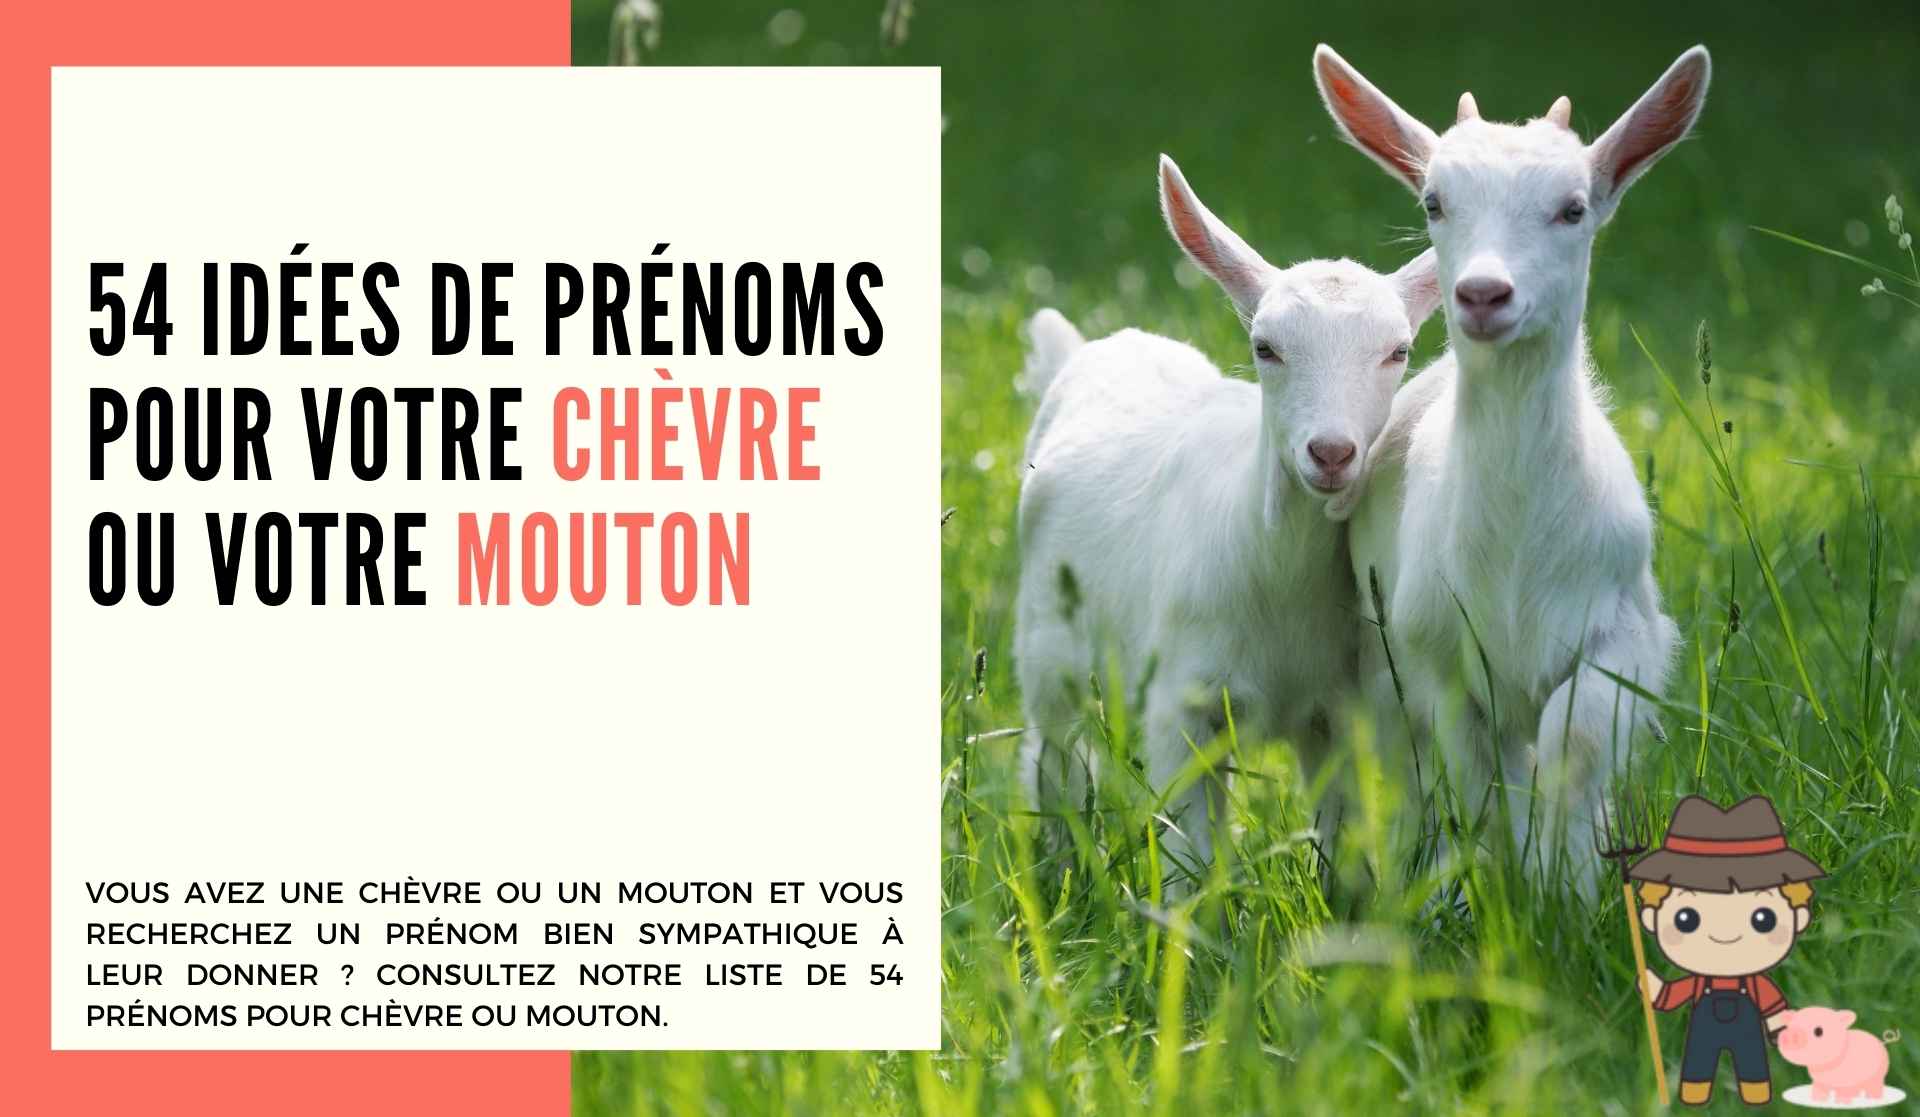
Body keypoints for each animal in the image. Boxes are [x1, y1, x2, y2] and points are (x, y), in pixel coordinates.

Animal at [1014, 154, 1441, 879]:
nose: (1331, 452)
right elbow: (1190, 860)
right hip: (1047, 648)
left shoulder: (1337, 709)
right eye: (1265, 347)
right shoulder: (1181, 704)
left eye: (1399, 351)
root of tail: (1090, 350)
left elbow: (1340, 841)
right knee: (1055, 759)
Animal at [1312, 45, 1704, 874]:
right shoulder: (1438, 656)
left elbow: (1572, 742)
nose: (1484, 293)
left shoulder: (1625, 631)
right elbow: (1480, 779)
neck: (1519, 555)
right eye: (1434, 202)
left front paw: (1567, 876)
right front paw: (1519, 879)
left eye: (1573, 208)